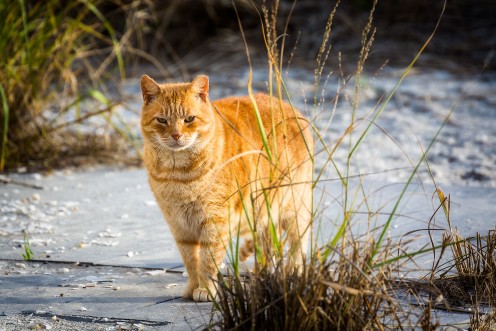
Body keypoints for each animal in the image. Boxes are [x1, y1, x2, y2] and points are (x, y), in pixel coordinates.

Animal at [140, 75, 312, 304]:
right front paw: (193, 286)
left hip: (294, 209)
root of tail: (286, 104)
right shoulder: (179, 226)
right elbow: (191, 261)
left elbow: (207, 261)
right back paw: (262, 274)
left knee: (298, 246)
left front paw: (205, 289)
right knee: (266, 245)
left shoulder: (215, 222)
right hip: (263, 212)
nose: (176, 135)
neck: (177, 175)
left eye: (189, 119)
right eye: (162, 120)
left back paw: (294, 273)